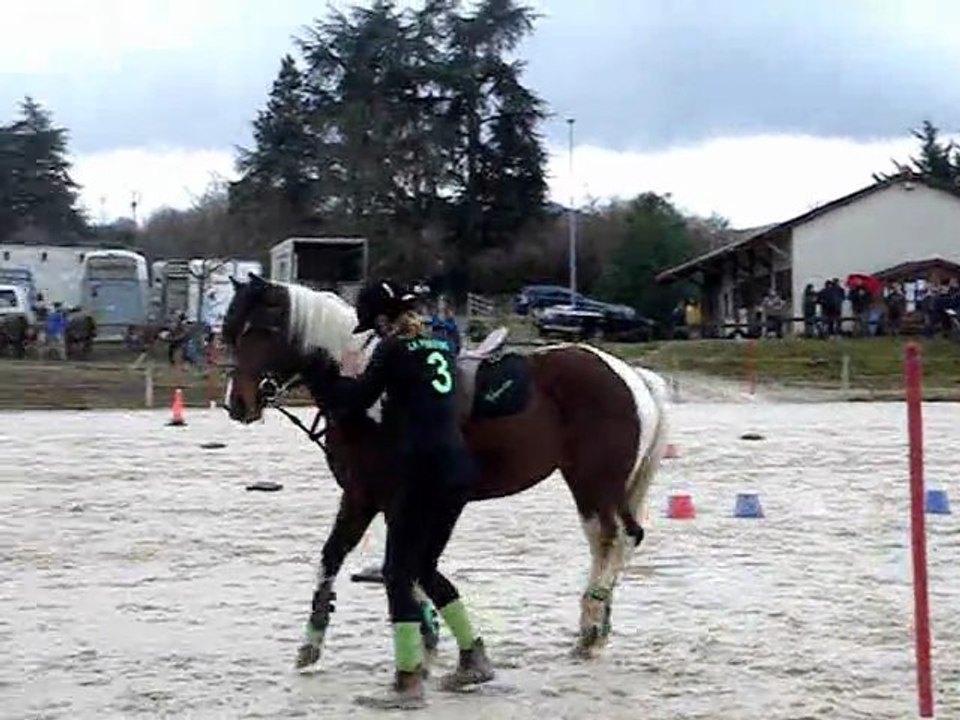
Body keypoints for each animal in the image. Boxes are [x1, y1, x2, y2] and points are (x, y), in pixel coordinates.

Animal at [222, 274, 671, 669]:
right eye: (231, 333)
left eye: (260, 331)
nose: (237, 403)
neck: (368, 393)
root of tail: (630, 375)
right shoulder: (368, 498)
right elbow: (339, 559)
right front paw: (317, 642)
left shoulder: (380, 497)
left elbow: (393, 564)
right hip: (588, 484)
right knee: (604, 542)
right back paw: (594, 625)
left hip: (596, 481)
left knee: (622, 537)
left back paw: (592, 626)